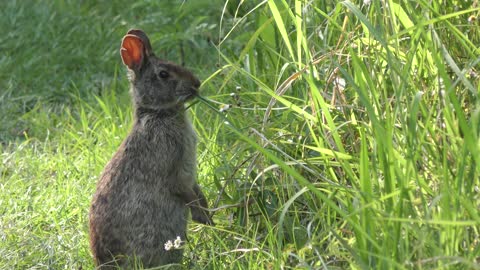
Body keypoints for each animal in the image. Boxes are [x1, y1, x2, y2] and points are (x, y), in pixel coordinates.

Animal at [89, 28, 213, 268]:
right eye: (163, 74)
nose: (197, 83)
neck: (157, 113)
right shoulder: (173, 169)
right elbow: (183, 189)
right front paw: (203, 217)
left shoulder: (189, 175)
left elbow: (195, 188)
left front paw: (208, 214)